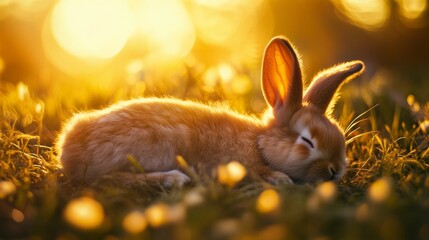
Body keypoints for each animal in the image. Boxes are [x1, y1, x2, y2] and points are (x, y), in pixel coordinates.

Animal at [56, 36, 364, 187]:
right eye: (307, 141)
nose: (337, 171)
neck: (258, 144)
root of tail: (69, 146)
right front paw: (280, 178)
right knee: (101, 179)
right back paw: (172, 179)